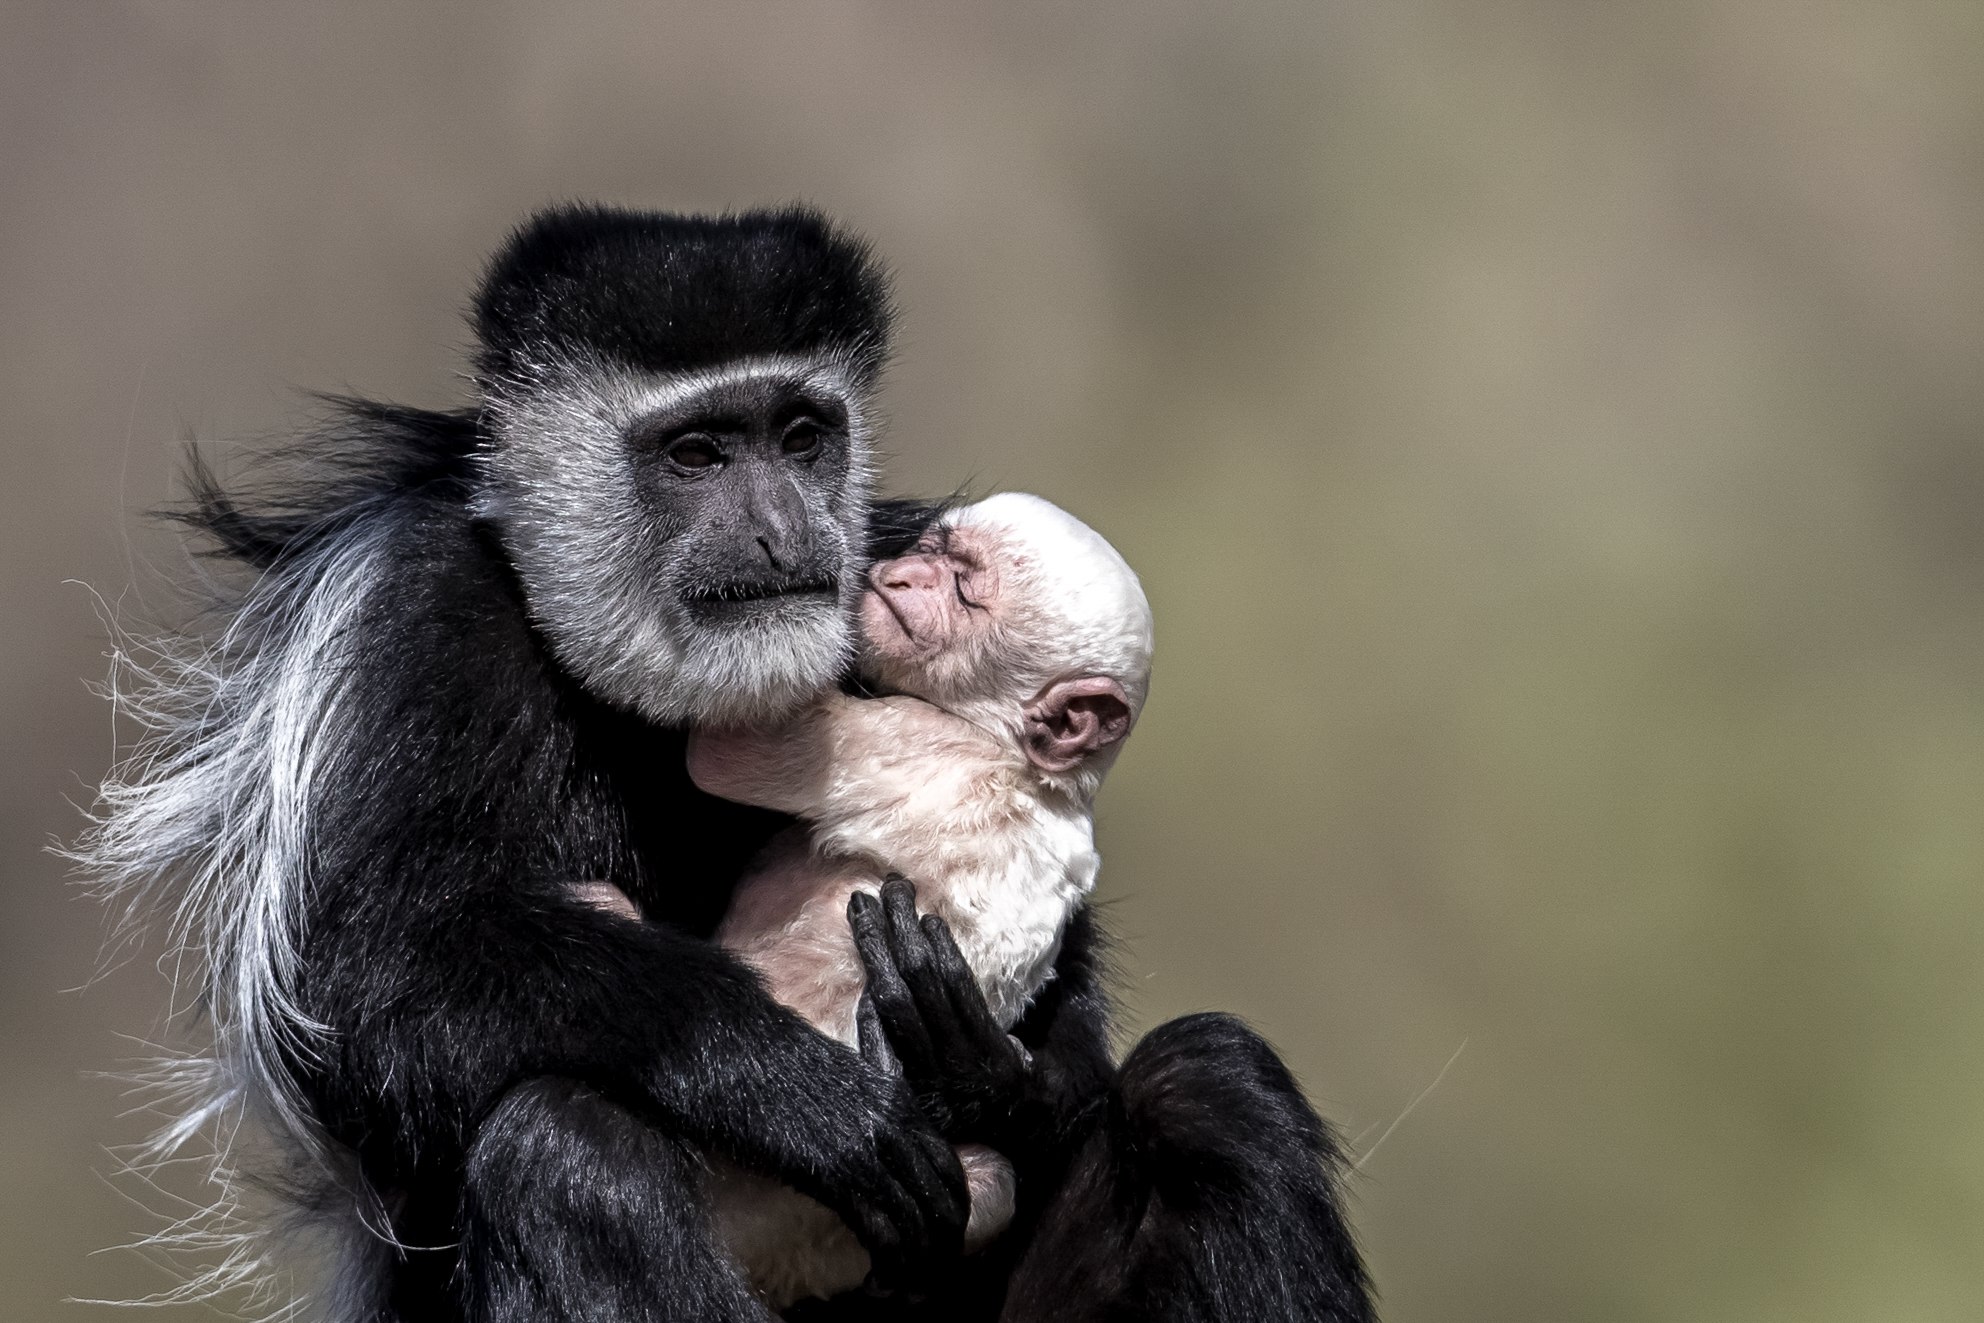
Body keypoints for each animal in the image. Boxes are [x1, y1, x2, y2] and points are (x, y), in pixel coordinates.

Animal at [579, 491, 1158, 1309]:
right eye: (936, 551)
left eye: (966, 589)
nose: (905, 575)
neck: (1042, 775)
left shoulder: (918, 742)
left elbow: (729, 753)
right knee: (992, 1186)